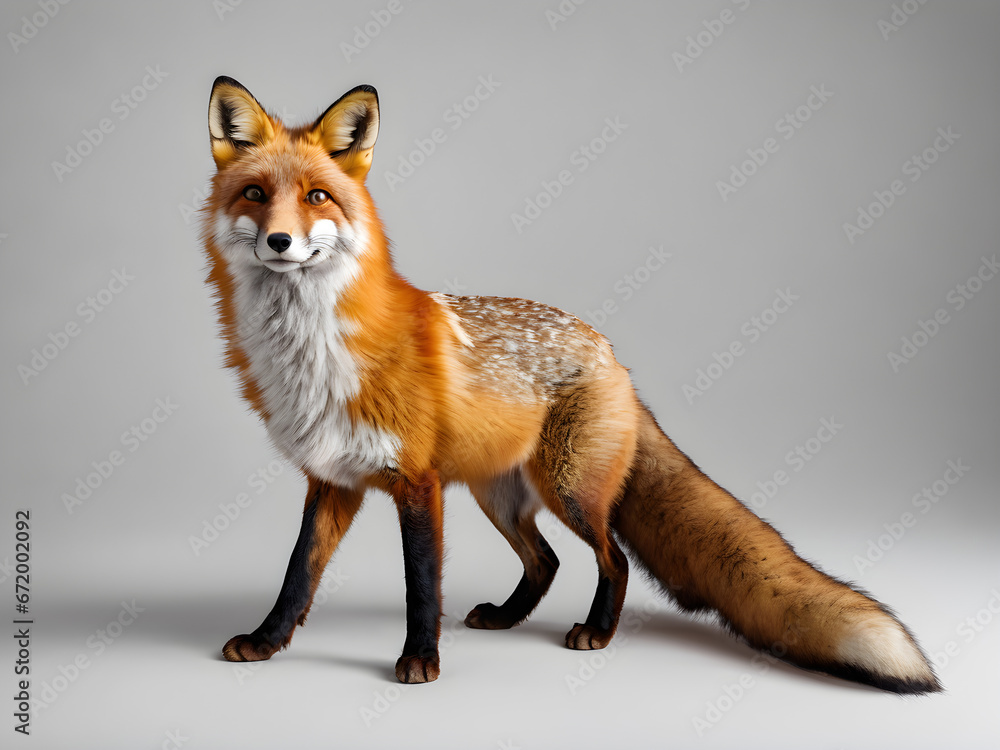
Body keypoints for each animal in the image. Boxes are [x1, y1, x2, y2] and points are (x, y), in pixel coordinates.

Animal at [200, 76, 941, 693]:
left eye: (317, 197)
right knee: (547, 562)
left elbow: (420, 586)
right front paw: (266, 642)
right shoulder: (334, 479)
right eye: (256, 195)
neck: (314, 354)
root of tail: (613, 355)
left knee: (613, 560)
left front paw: (420, 661)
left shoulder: (416, 483)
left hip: (570, 489)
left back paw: (597, 633)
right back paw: (508, 617)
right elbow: (299, 573)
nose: (279, 242)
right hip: (501, 496)